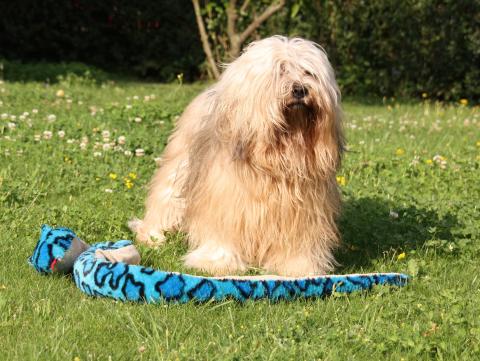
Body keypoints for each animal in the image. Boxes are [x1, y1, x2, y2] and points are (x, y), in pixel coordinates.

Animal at [129, 35, 344, 274]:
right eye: (280, 70)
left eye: (308, 73)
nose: (300, 90)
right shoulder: (224, 202)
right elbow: (222, 233)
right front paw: (217, 263)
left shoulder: (304, 213)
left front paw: (301, 268)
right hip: (178, 167)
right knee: (164, 198)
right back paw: (152, 235)